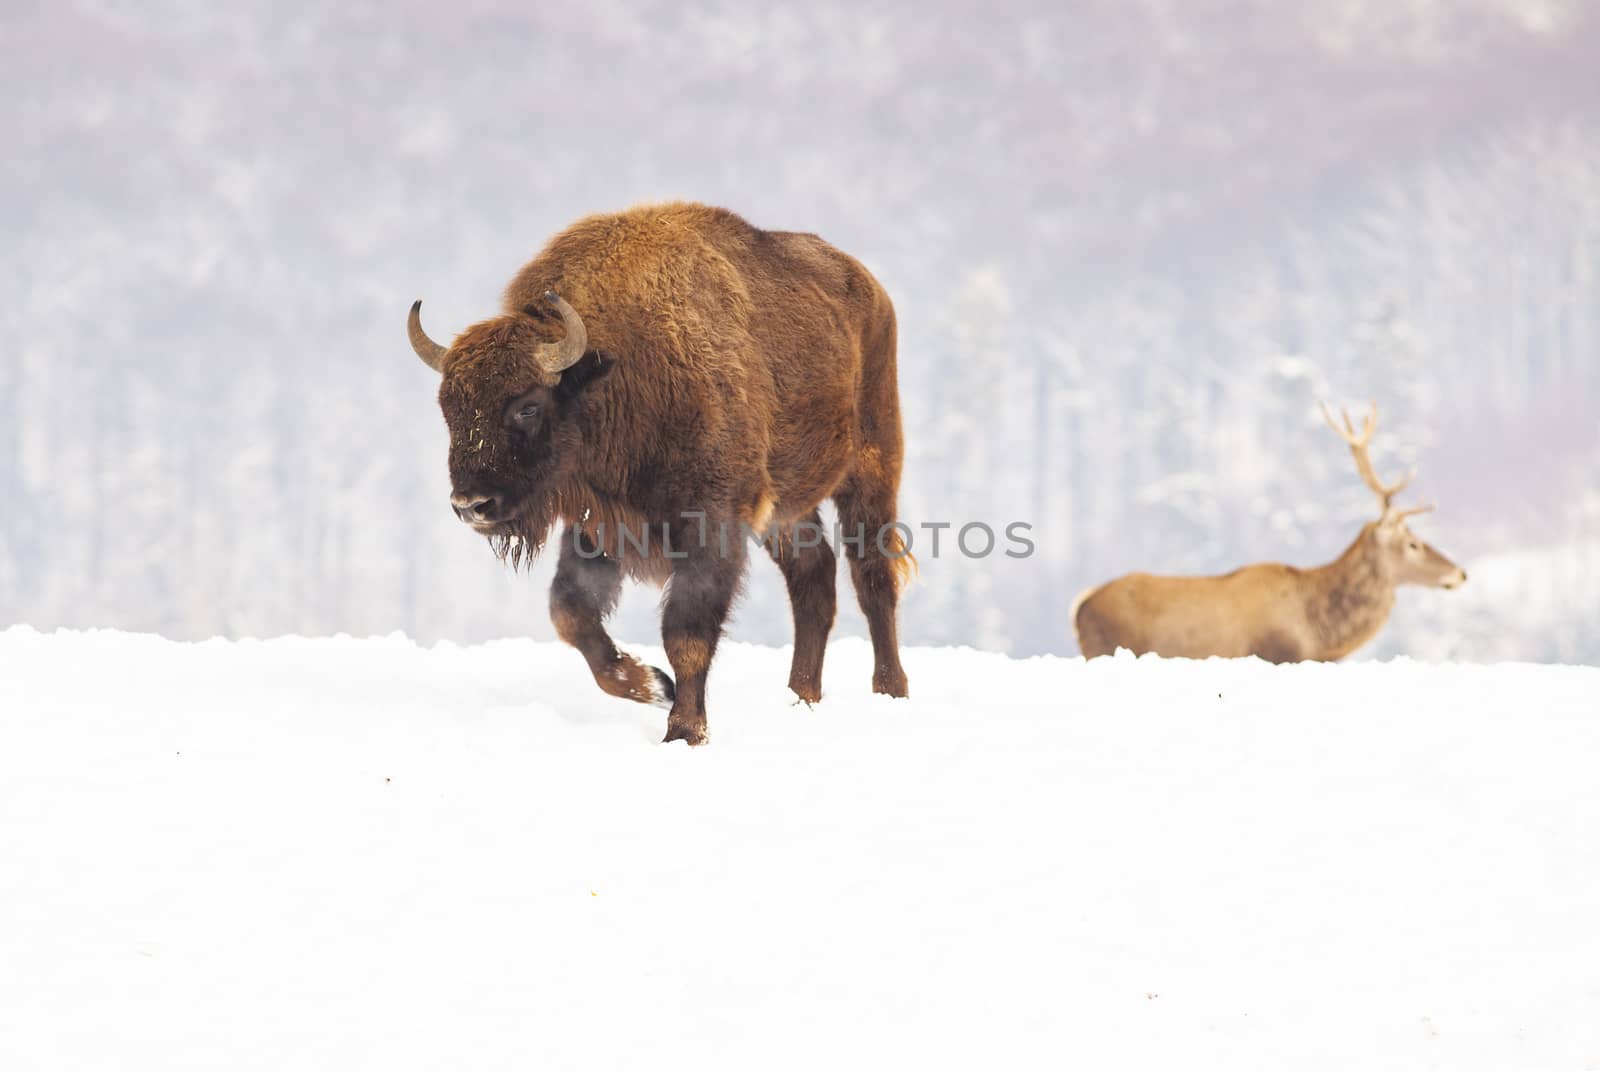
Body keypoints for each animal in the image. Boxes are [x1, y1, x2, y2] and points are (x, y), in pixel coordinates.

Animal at [1075, 405, 1465, 662]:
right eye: (1413, 543)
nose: (1461, 573)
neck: (1321, 638)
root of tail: (1080, 605)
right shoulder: (1278, 655)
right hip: (1103, 649)